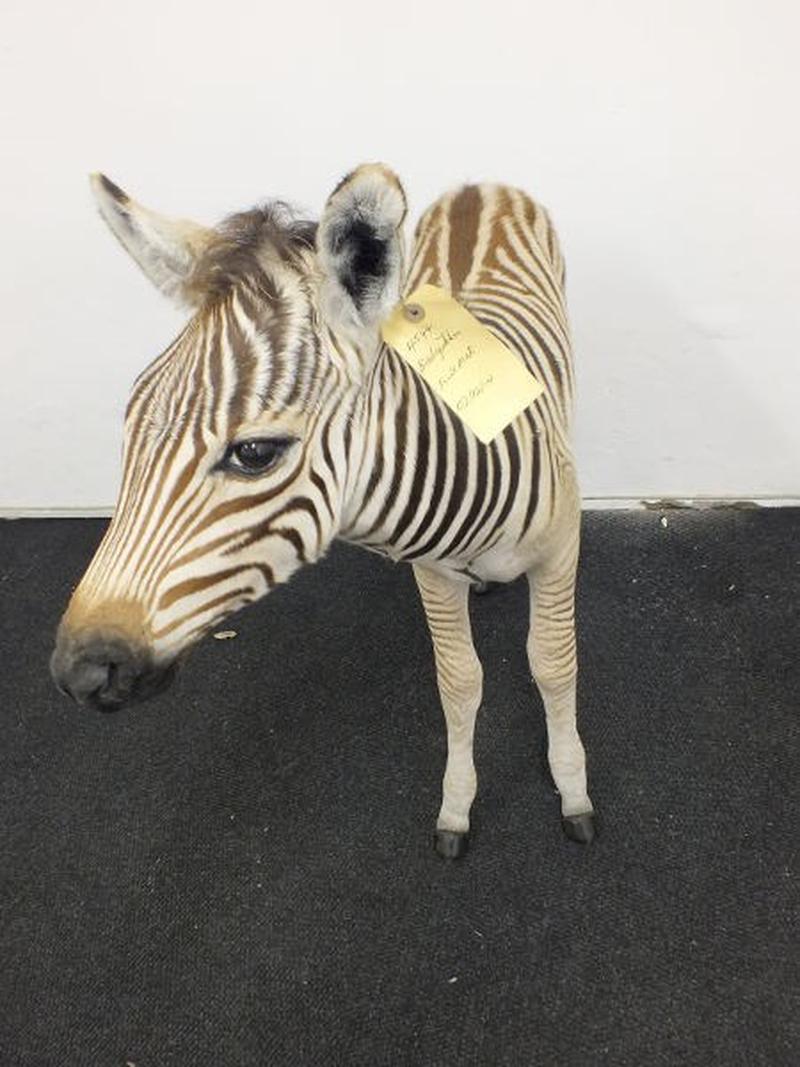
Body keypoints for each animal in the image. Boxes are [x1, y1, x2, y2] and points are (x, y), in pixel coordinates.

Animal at [51, 163, 596, 856]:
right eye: (131, 427)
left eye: (254, 453)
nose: (79, 672)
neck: (472, 457)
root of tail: (480, 186)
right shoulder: (433, 574)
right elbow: (458, 681)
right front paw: (457, 804)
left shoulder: (560, 553)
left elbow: (553, 666)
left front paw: (572, 789)